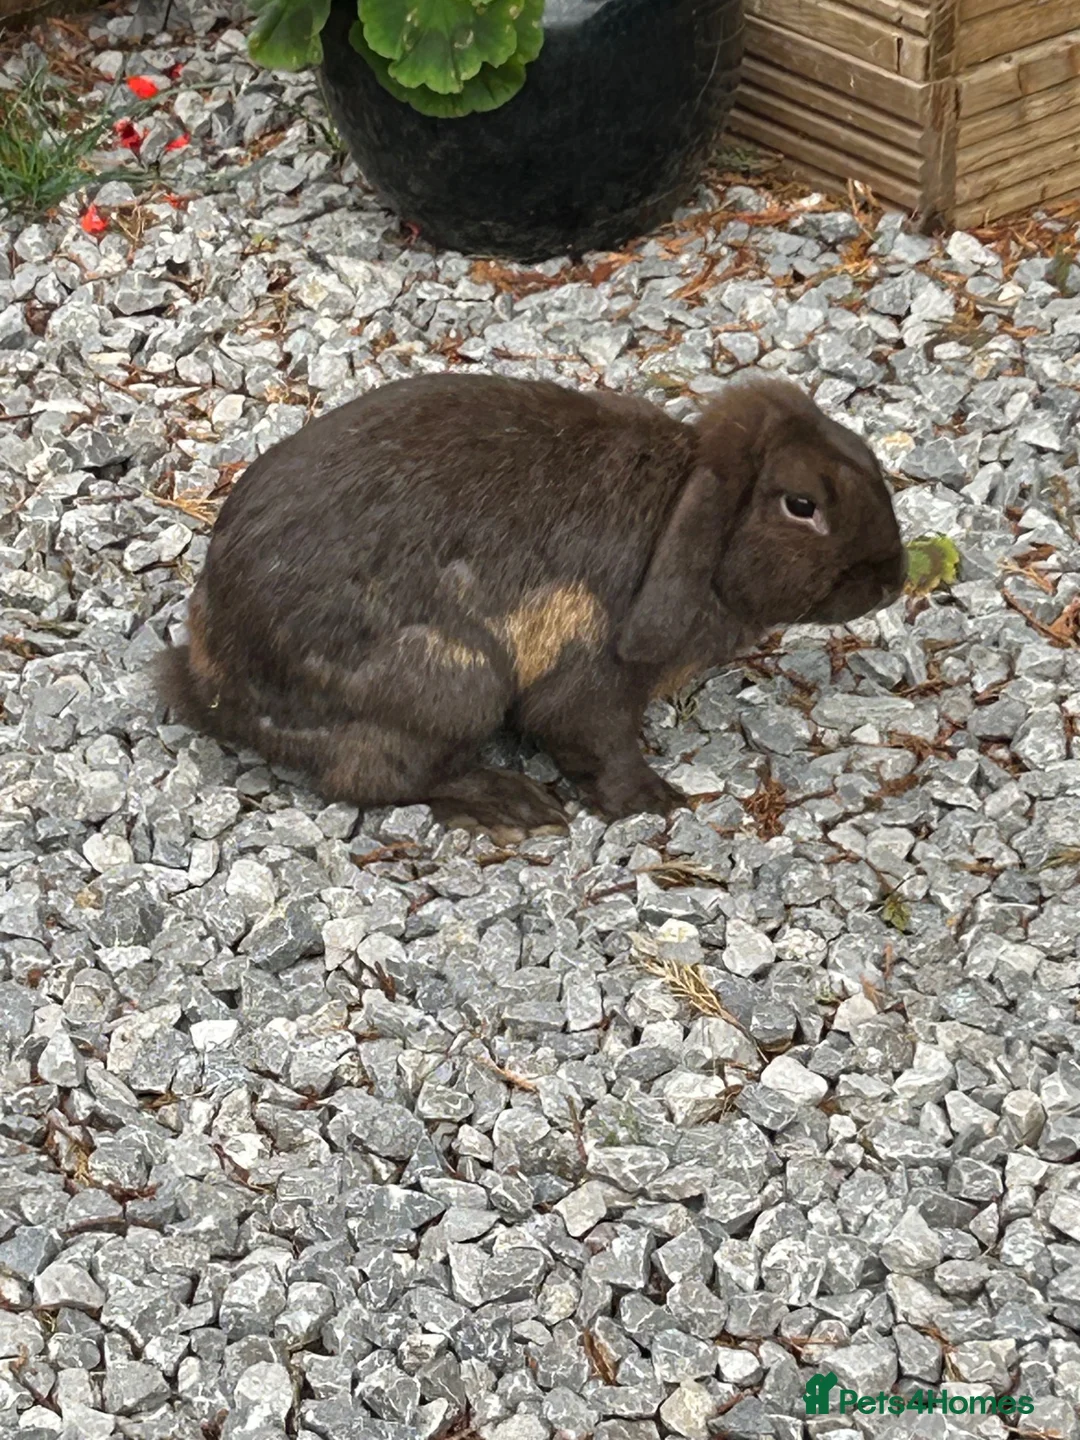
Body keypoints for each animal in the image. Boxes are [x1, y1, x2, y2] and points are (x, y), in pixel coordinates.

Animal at [157, 372, 907, 842]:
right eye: (801, 504)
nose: (891, 581)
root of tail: (212, 685)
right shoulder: (593, 680)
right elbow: (591, 740)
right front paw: (653, 802)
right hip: (455, 679)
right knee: (380, 776)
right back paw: (512, 805)